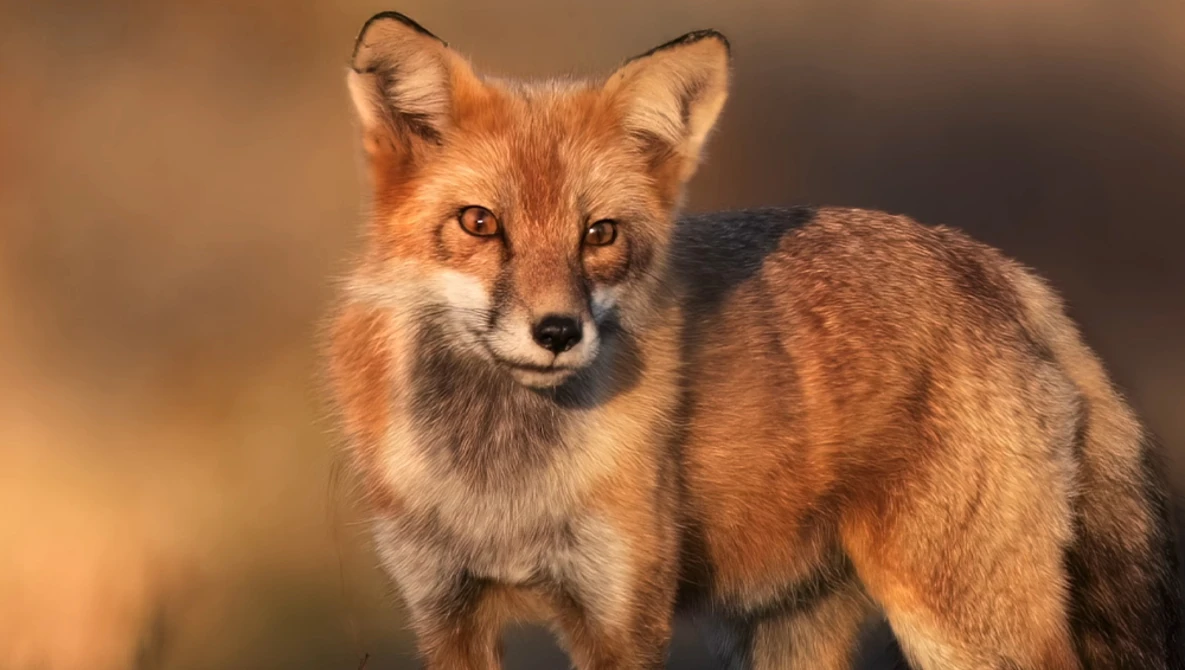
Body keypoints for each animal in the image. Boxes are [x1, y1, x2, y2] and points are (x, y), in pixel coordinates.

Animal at [326, 11, 1183, 670]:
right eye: (479, 224)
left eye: (599, 235)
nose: (558, 332)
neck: (501, 489)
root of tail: (1000, 269)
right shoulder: (446, 612)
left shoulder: (622, 617)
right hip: (789, 629)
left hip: (962, 623)